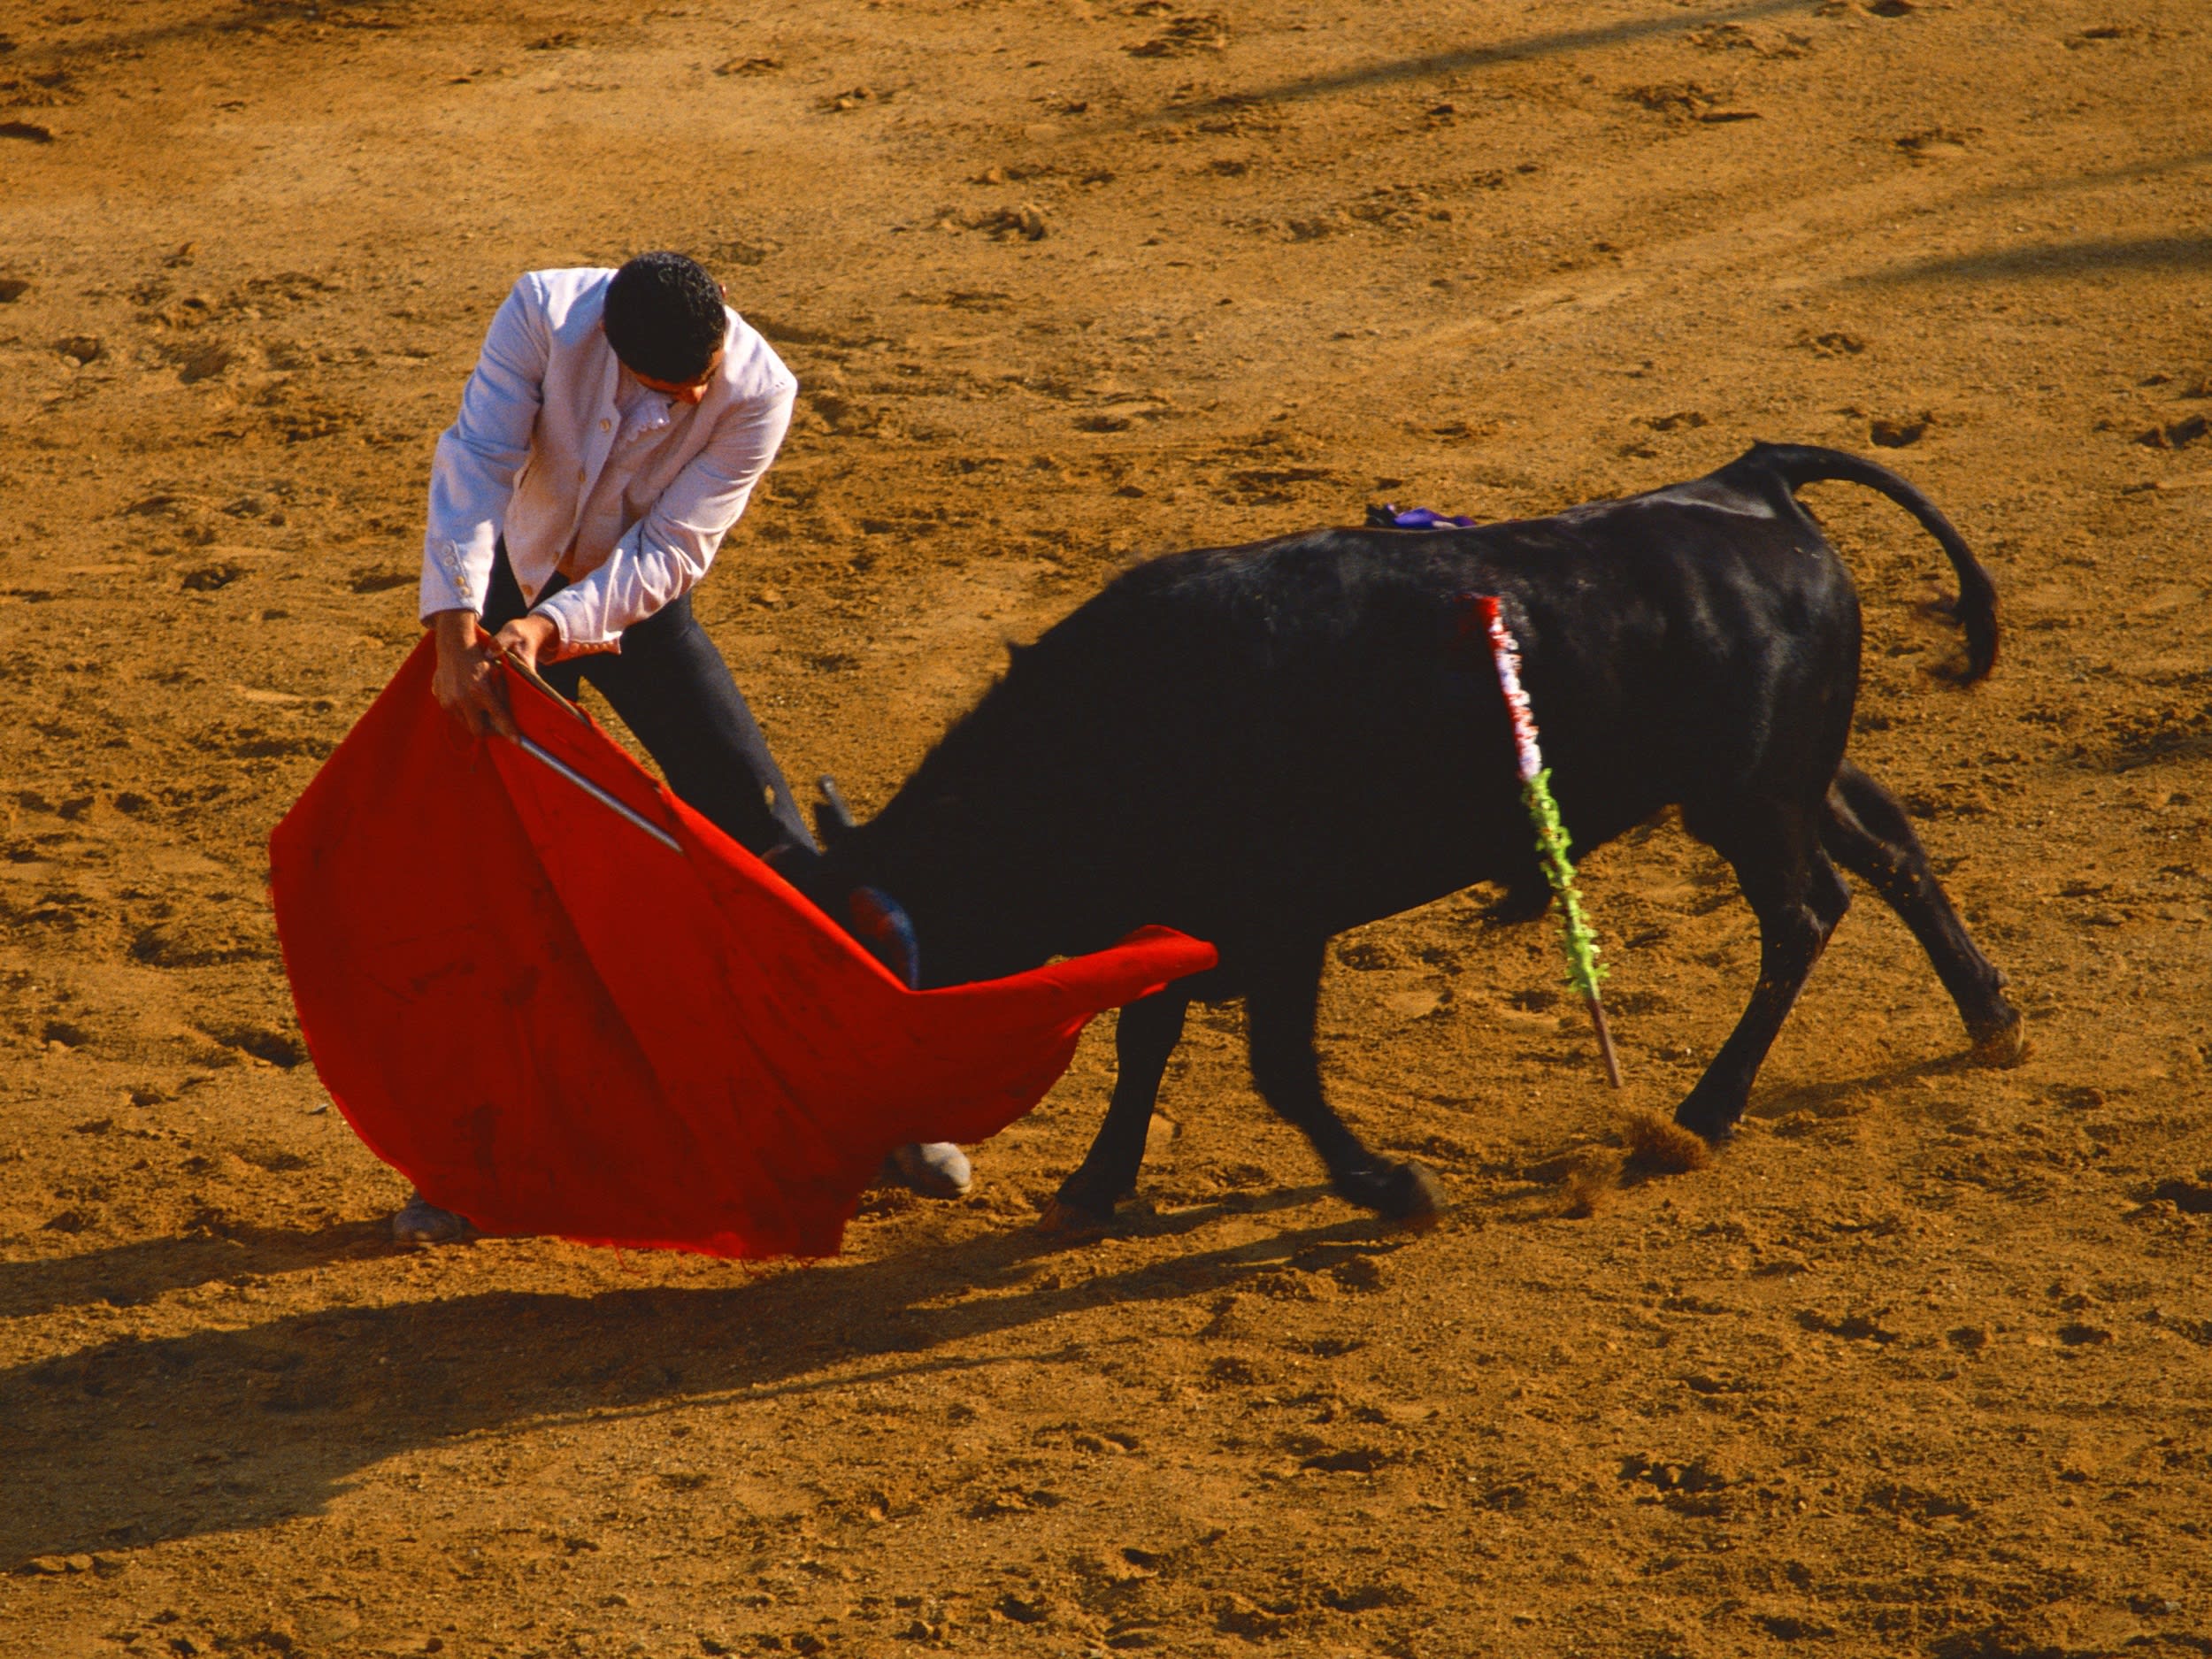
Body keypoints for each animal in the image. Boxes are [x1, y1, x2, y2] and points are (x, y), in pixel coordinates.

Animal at [814, 444, 2026, 1239]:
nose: (889, 1159)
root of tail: (1752, 480)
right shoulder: (1199, 920)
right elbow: (1145, 1033)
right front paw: (1095, 1183)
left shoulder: (1281, 923)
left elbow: (1277, 1069)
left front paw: (1390, 1187)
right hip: (1788, 776)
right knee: (1889, 845)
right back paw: (1990, 1018)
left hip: (1749, 800)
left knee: (1803, 913)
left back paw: (1701, 1115)